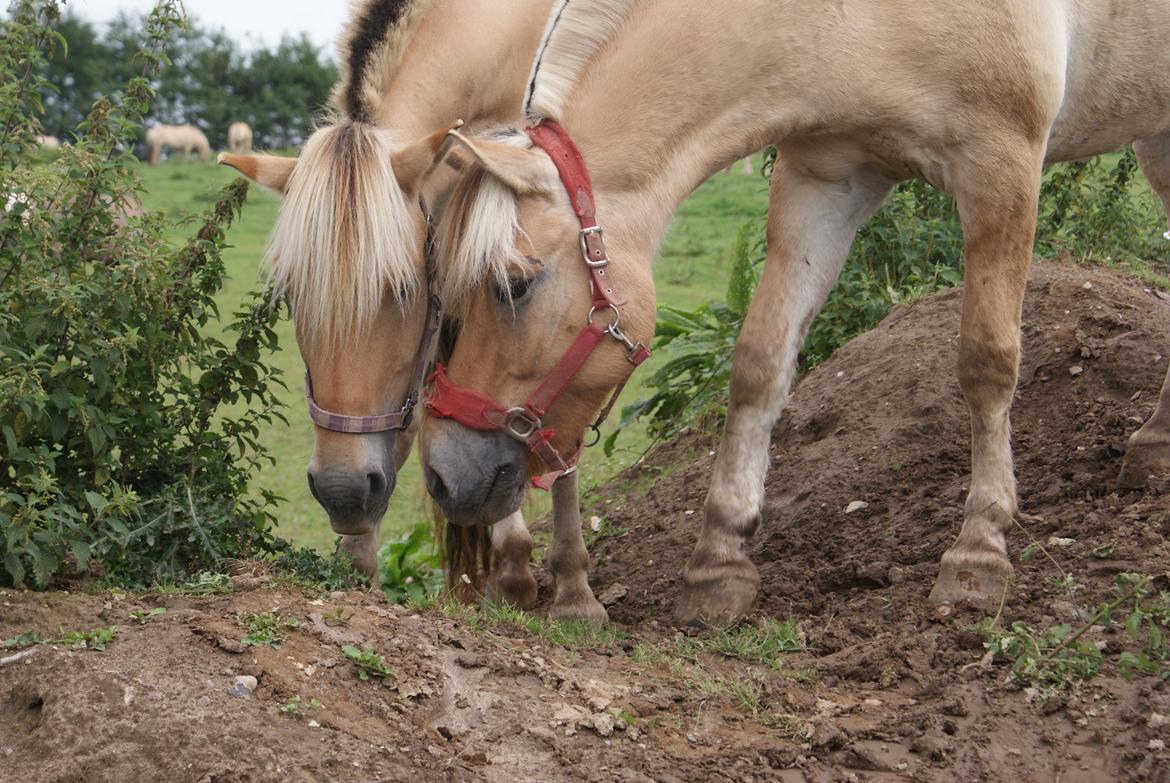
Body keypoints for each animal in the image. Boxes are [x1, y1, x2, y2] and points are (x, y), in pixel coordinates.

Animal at [418, 0, 1170, 622]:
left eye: (514, 285)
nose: (445, 476)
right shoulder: (826, 179)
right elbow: (761, 363)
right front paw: (718, 560)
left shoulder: (1001, 164)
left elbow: (988, 361)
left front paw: (979, 550)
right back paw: (1154, 446)